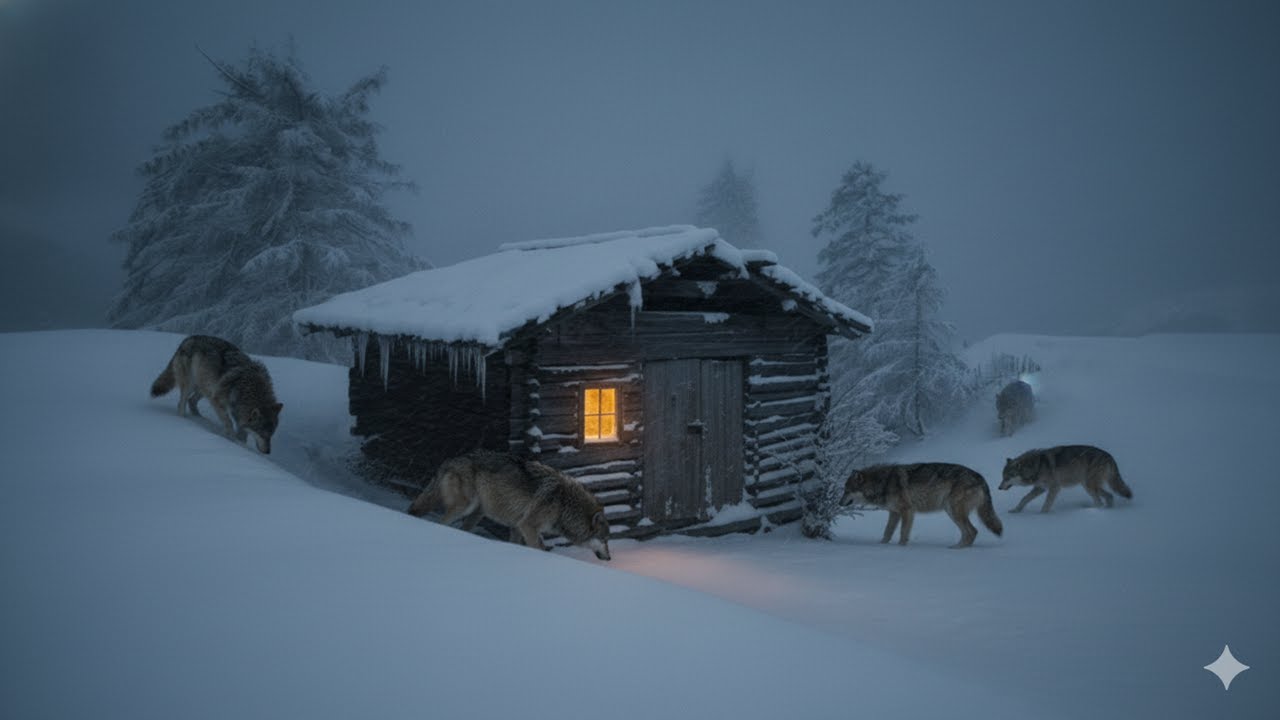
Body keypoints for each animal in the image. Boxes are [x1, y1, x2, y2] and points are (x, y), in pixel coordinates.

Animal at [150, 335, 283, 454]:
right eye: (262, 434)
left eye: (271, 435)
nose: (268, 452)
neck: (247, 387)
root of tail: (188, 339)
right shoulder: (218, 400)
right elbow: (228, 422)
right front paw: (232, 439)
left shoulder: (237, 411)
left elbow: (242, 432)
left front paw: (240, 443)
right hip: (192, 385)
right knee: (182, 403)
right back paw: (184, 420)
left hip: (205, 388)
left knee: (191, 401)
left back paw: (200, 419)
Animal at [408, 450, 612, 561]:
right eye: (604, 540)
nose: (610, 558)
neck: (565, 504)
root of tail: (449, 460)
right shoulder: (527, 526)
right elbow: (539, 548)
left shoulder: (516, 526)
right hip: (464, 506)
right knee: (441, 523)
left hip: (477, 513)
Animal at [839, 463, 1003, 548]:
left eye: (847, 490)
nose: (839, 503)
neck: (882, 483)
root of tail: (980, 477)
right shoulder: (894, 513)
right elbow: (887, 532)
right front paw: (882, 545)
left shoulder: (907, 511)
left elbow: (903, 533)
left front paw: (901, 547)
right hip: (951, 511)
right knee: (970, 532)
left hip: (953, 510)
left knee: (972, 531)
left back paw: (957, 549)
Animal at [999, 445, 1132, 513]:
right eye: (1003, 477)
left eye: (1007, 477)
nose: (999, 488)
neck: (1036, 466)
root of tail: (1109, 456)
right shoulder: (1040, 488)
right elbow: (1024, 499)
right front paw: (1015, 510)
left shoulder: (1054, 487)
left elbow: (1046, 504)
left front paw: (1042, 516)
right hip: (1089, 486)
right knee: (1109, 496)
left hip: (1089, 486)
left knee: (1100, 501)